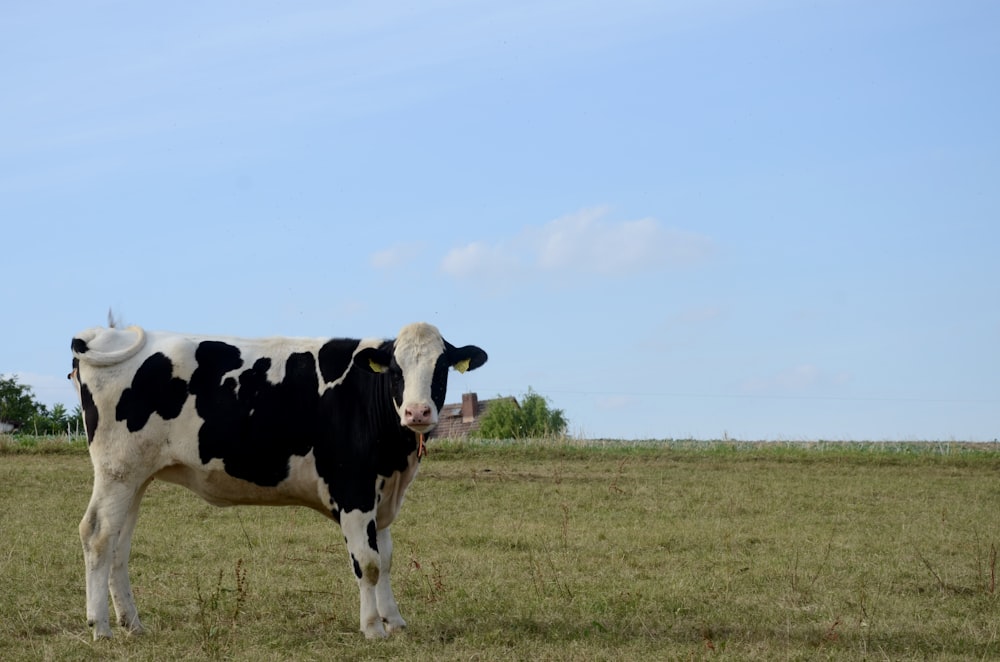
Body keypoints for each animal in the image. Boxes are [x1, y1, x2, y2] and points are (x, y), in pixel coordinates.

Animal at [68, 322, 486, 644]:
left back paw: (132, 624)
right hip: (117, 470)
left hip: (136, 476)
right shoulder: (354, 490)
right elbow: (367, 563)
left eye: (441, 369)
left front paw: (394, 621)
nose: (418, 412)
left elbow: (384, 560)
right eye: (397, 371)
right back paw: (100, 627)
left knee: (119, 545)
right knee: (97, 534)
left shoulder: (381, 498)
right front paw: (372, 628)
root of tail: (104, 334)